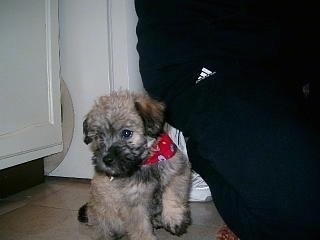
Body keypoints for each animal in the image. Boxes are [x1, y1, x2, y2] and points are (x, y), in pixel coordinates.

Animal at [78, 90, 191, 240]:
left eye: (126, 133)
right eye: (99, 136)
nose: (106, 159)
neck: (146, 162)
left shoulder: (177, 172)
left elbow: (173, 193)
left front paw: (173, 218)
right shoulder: (134, 203)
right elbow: (141, 228)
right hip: (104, 221)